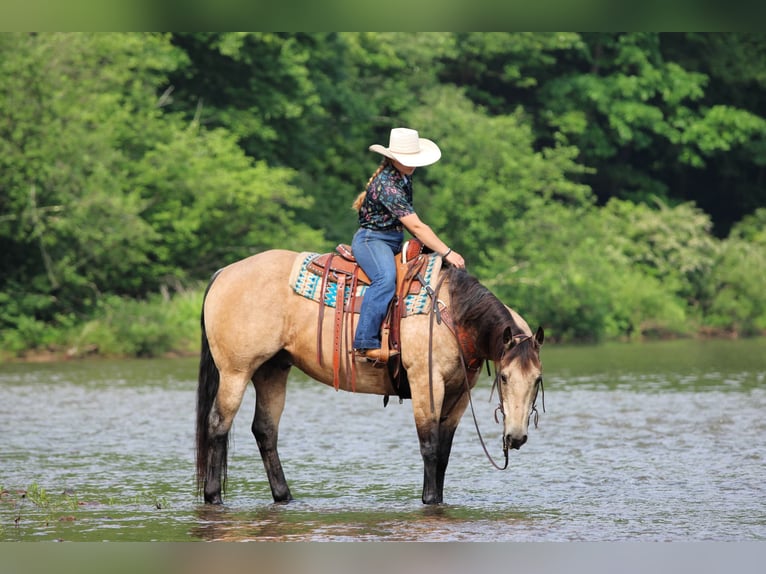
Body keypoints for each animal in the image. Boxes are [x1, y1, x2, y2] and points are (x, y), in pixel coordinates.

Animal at [196, 248, 544, 505]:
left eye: (537, 380)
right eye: (504, 377)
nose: (516, 437)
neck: (453, 316)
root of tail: (223, 273)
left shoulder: (458, 394)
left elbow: (444, 452)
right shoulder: (426, 382)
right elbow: (430, 446)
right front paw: (429, 500)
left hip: (272, 369)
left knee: (265, 430)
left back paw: (284, 496)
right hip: (236, 371)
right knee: (218, 424)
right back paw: (213, 496)